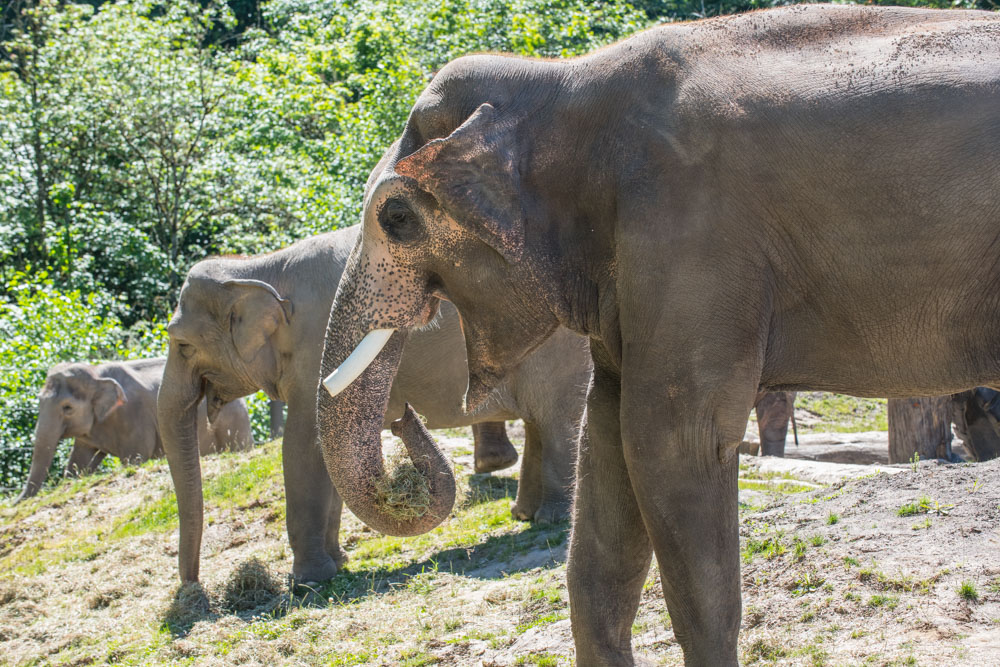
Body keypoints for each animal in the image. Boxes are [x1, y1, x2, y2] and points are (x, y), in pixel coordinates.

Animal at [16, 358, 252, 504]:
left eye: (67, 408)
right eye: (39, 400)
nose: (16, 502)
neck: (96, 373)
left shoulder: (135, 417)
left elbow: (135, 458)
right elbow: (79, 462)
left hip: (233, 421)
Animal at [159, 224, 588, 584]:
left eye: (182, 345)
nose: (193, 587)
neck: (258, 266)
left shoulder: (315, 349)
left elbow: (303, 447)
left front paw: (307, 583)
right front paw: (338, 564)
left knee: (557, 421)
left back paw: (550, 519)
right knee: (540, 423)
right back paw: (524, 515)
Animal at [318, 6, 1000, 667]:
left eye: (396, 219)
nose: (403, 416)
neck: (564, 83)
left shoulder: (692, 231)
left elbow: (669, 443)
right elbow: (606, 442)